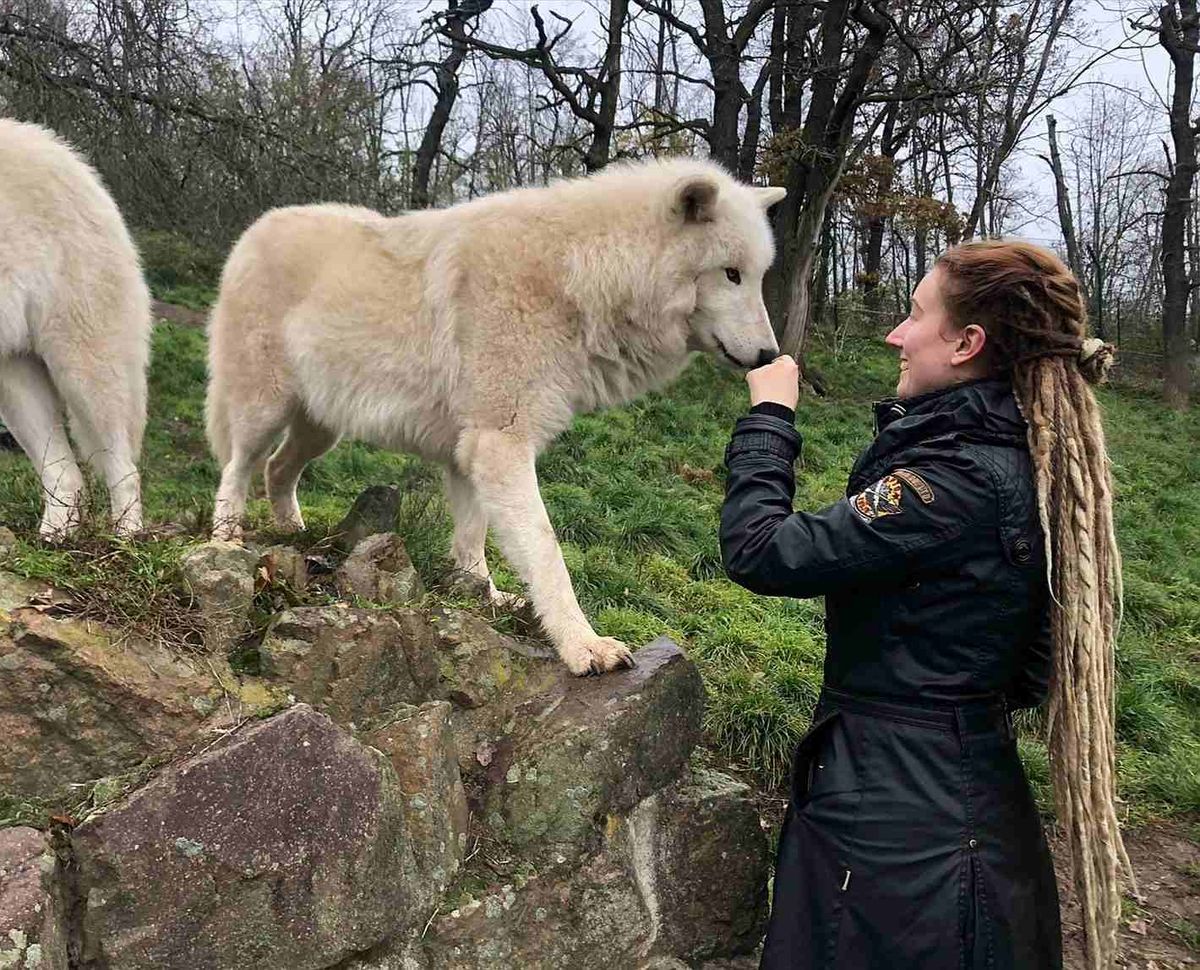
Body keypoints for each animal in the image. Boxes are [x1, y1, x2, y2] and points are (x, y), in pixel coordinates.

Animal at [0, 121, 150, 537]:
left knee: (123, 466)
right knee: (66, 474)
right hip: (16, 377)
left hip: (84, 369)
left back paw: (125, 537)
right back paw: (55, 537)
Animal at [206, 159, 782, 672]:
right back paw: (226, 540)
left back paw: (295, 535)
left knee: (277, 470)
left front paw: (481, 596)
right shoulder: (499, 444)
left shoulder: (468, 454)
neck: (578, 277)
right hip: (264, 408)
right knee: (237, 468)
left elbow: (473, 539)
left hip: (320, 427)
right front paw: (582, 645)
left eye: (758, 277)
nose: (770, 356)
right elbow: (546, 552)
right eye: (731, 274)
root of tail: (251, 231)